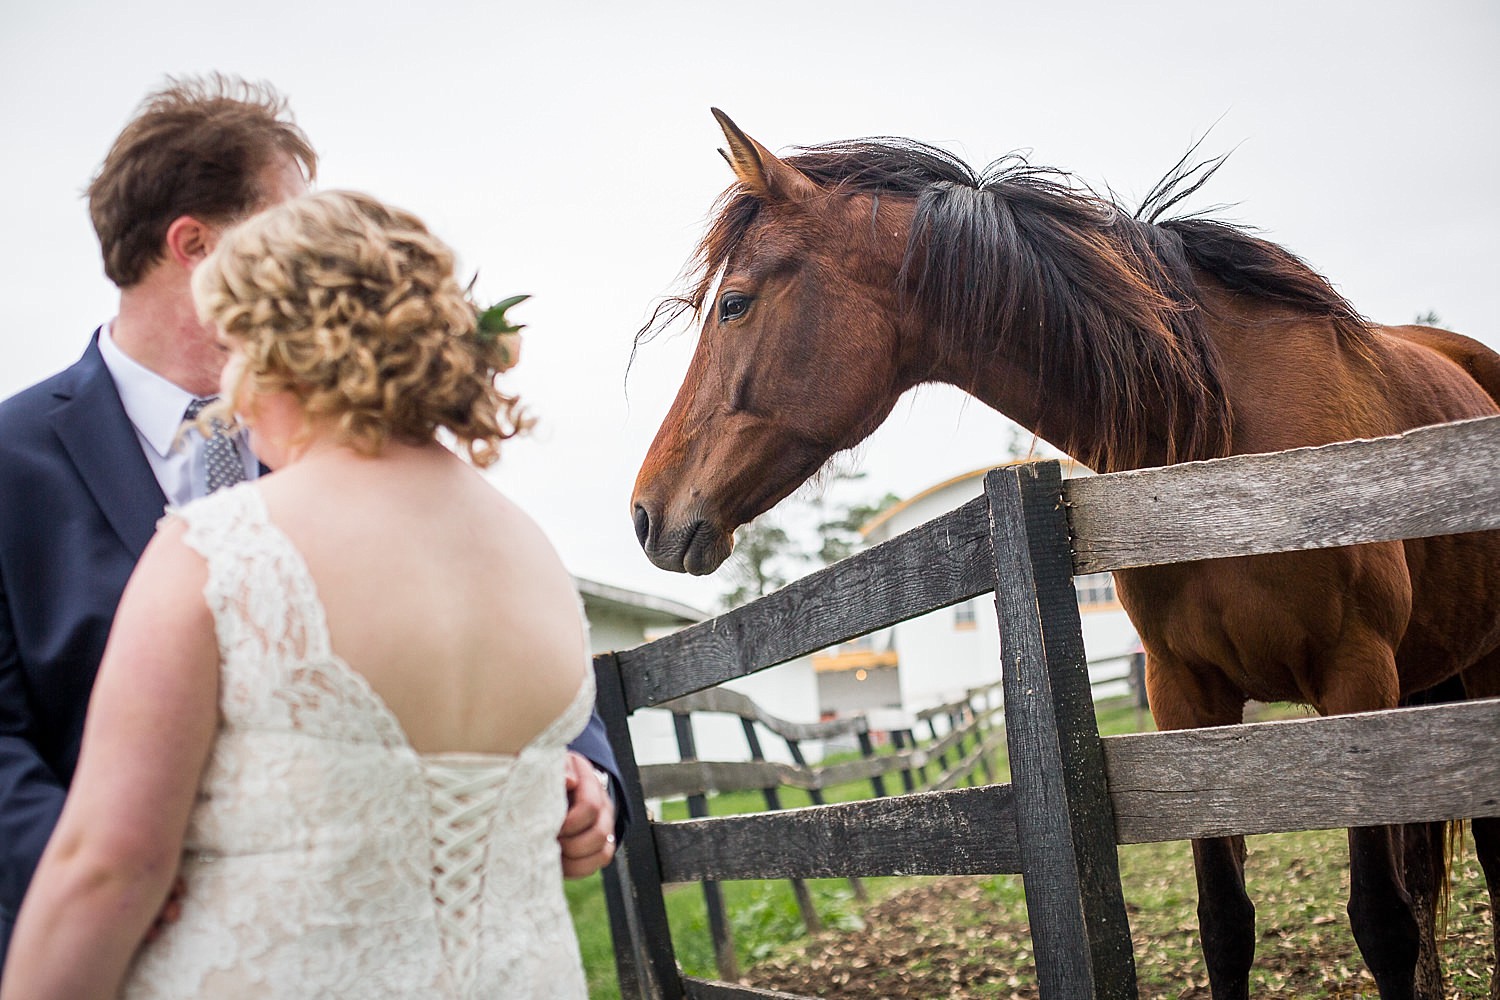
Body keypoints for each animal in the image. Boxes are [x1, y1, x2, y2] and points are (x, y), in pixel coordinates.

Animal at [630, 109, 1500, 1000]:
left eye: (734, 305)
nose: (646, 512)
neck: (1220, 447)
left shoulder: (1357, 683)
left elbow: (1382, 924)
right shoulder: (1184, 697)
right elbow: (1225, 924)